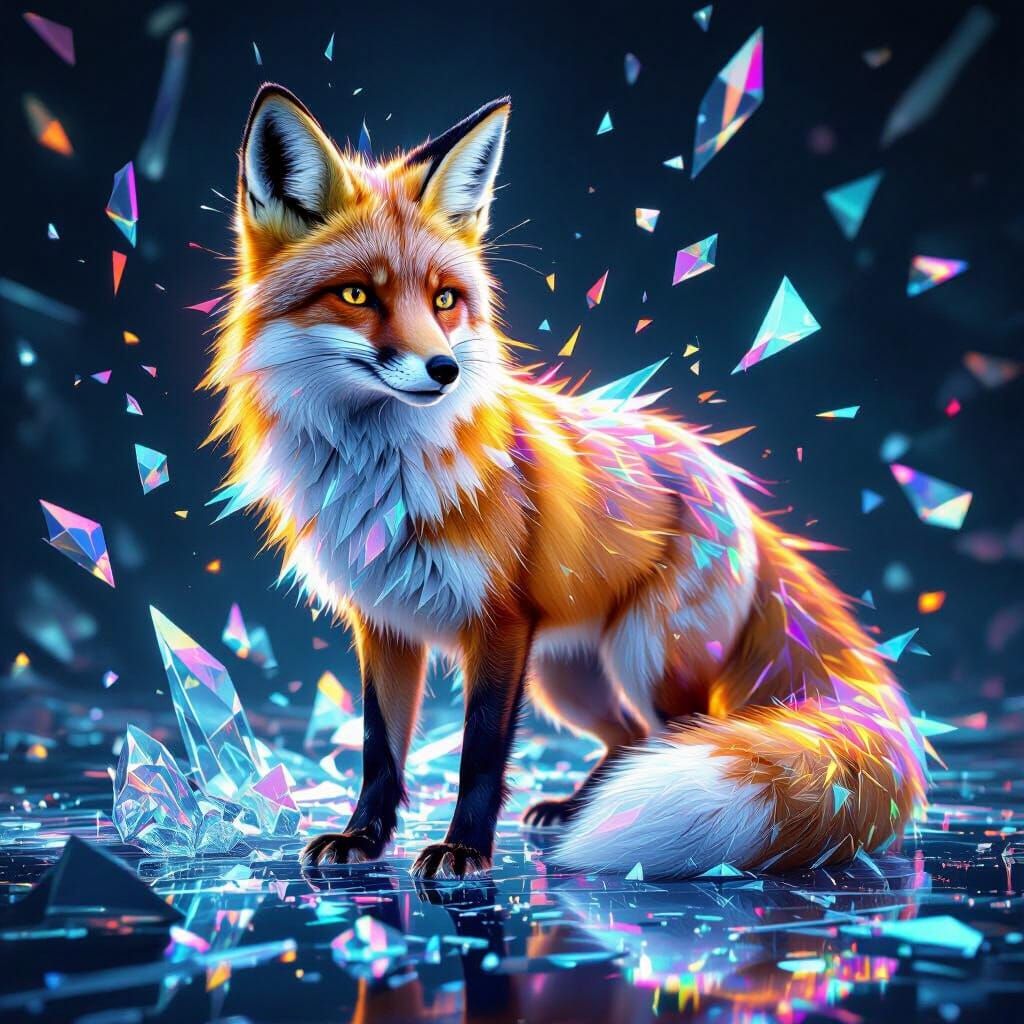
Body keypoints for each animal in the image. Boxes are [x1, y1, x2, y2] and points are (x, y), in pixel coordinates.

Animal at [203, 84, 928, 879]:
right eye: (358, 295)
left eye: (446, 300)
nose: (443, 370)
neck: (382, 478)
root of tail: (732, 486)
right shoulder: (385, 623)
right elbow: (379, 748)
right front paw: (362, 837)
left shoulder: (499, 623)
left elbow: (480, 753)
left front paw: (464, 849)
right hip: (569, 678)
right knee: (627, 737)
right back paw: (581, 811)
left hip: (647, 658)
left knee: (680, 733)